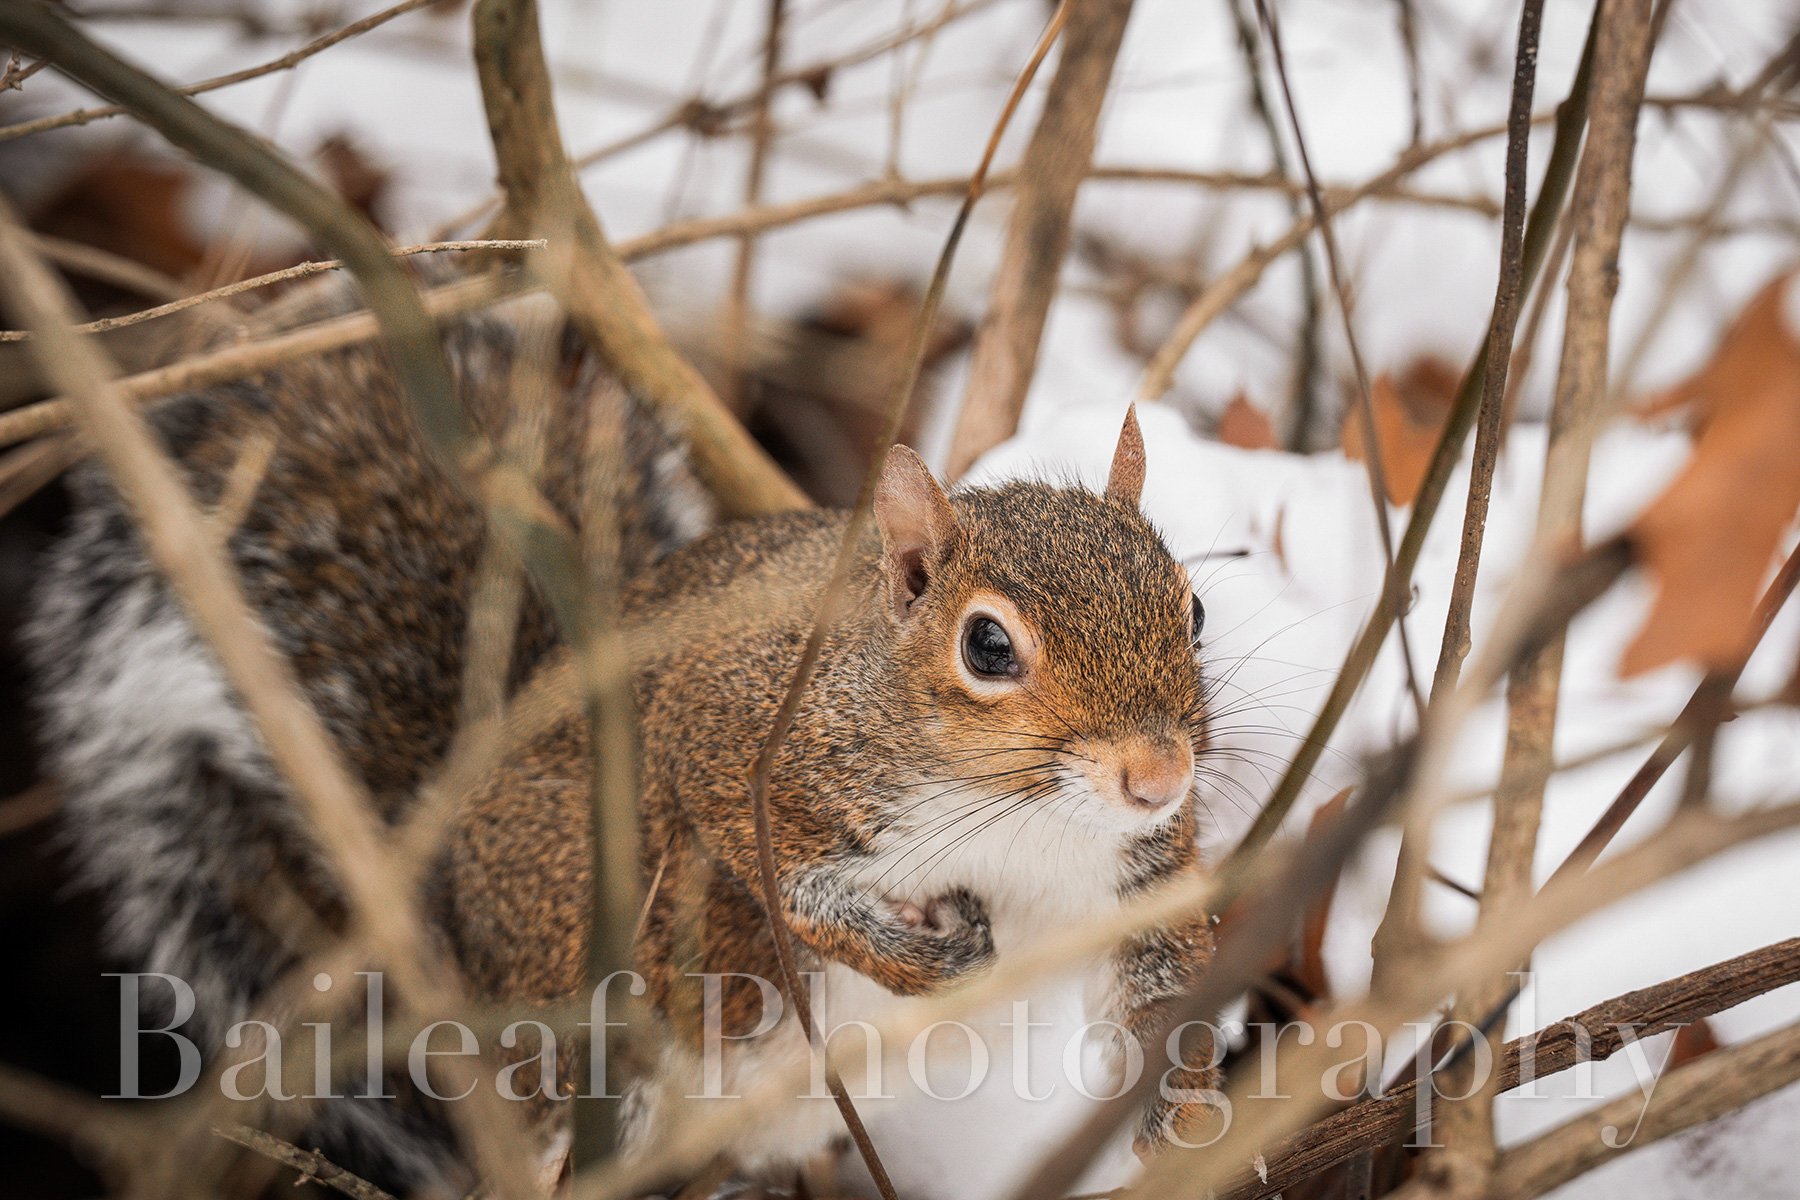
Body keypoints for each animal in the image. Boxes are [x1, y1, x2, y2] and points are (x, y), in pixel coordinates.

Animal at [28, 280, 1221, 1196]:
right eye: (986, 646)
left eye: (1195, 610)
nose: (1159, 775)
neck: (1024, 816)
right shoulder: (739, 733)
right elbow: (777, 873)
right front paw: (911, 956)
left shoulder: (1138, 872)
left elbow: (1170, 981)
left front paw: (1188, 1121)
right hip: (601, 968)